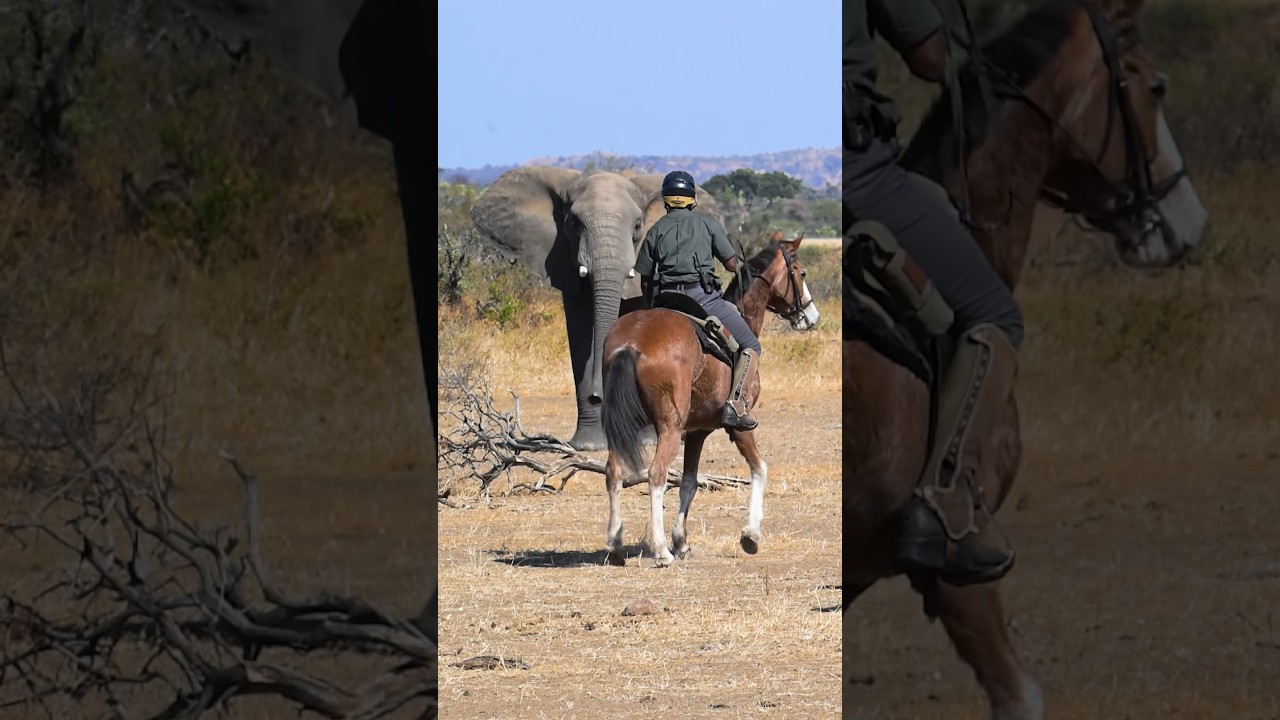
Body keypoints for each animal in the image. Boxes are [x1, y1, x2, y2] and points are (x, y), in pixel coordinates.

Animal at [470, 167, 724, 451]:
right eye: (572, 223)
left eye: (638, 226)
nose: (596, 396)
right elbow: (581, 335)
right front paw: (588, 446)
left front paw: (647, 441)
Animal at [599, 237, 821, 567]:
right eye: (801, 272)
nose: (810, 316)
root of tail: (633, 341)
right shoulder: (739, 426)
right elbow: (760, 468)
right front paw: (750, 535)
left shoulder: (697, 432)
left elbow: (689, 483)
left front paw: (682, 541)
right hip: (669, 427)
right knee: (656, 475)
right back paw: (661, 551)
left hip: (625, 424)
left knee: (614, 471)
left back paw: (615, 544)